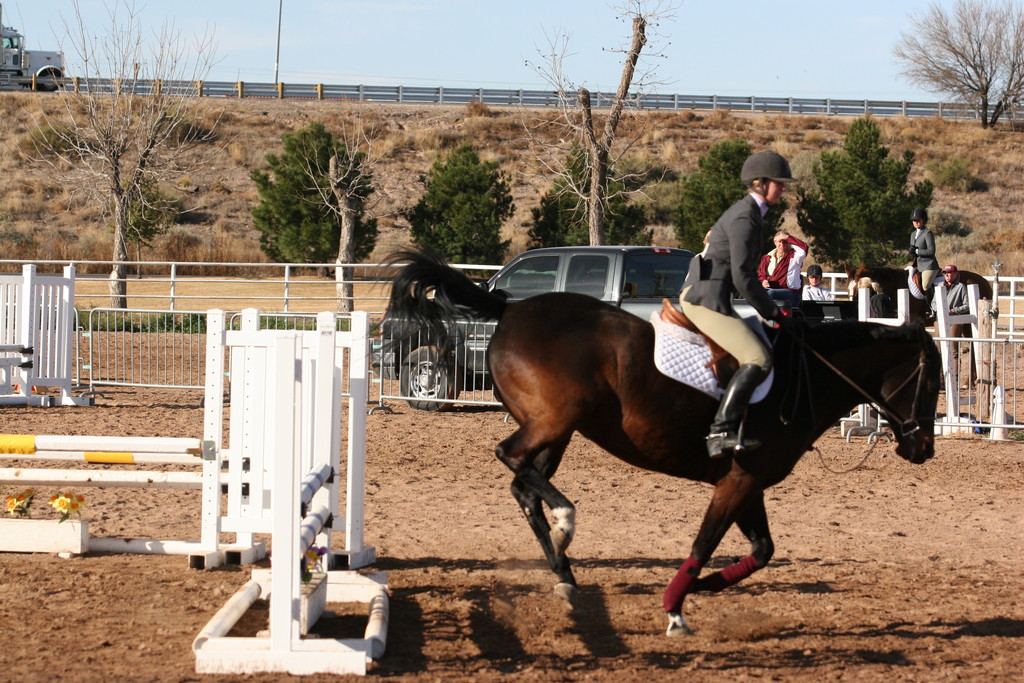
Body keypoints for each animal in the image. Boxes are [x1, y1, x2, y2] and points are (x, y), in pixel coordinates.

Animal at [387, 253, 937, 638]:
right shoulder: (739, 479)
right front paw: (676, 609)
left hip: (560, 429)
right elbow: (704, 544)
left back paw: (565, 572)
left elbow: (761, 550)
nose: (923, 450)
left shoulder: (749, 482)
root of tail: (512, 306)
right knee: (513, 459)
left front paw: (707, 586)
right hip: (555, 418)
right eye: (931, 383)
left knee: (525, 482)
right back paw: (566, 523)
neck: (805, 375)